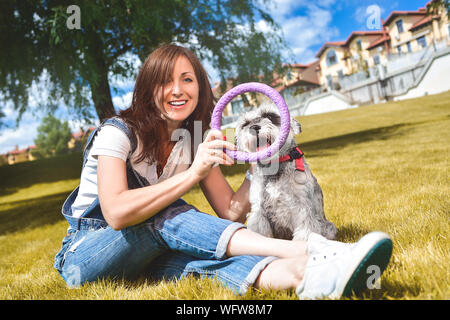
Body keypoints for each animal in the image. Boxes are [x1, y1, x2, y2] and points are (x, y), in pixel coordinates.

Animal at [236, 102, 338, 240]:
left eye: (270, 115)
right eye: (245, 123)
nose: (254, 127)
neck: (274, 170)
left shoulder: (301, 207)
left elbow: (305, 231)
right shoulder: (259, 211)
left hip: (329, 227)